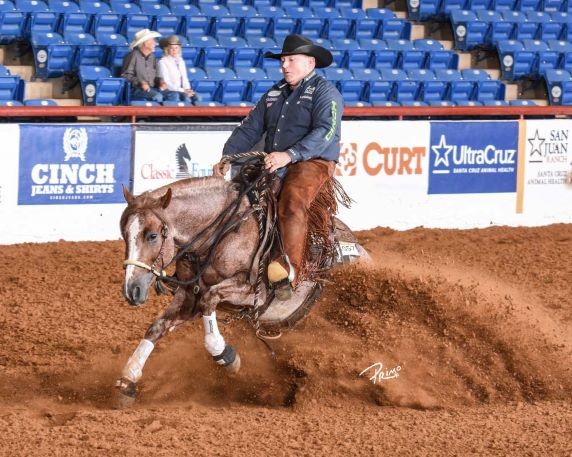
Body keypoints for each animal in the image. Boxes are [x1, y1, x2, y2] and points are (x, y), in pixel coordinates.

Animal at [116, 166, 367, 403]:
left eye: (152, 236)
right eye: (124, 234)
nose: (132, 290)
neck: (221, 234)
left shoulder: (252, 291)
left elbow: (210, 300)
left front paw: (225, 355)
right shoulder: (189, 296)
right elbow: (157, 327)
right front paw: (128, 379)